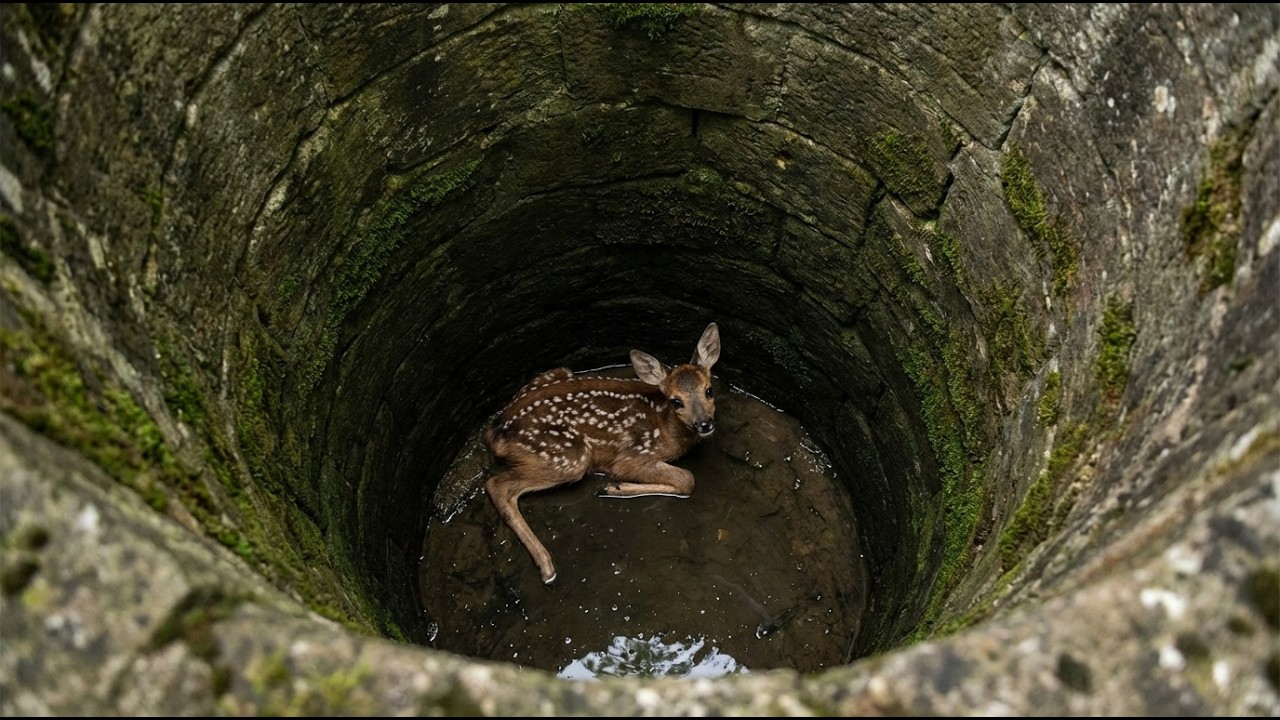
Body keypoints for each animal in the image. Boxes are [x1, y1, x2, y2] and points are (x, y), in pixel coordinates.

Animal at [483, 323, 721, 585]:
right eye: (676, 401)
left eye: (709, 390)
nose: (704, 424)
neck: (666, 425)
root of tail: (496, 432)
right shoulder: (635, 454)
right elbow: (687, 479)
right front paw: (614, 486)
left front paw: (614, 487)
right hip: (568, 456)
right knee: (497, 484)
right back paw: (546, 565)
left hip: (560, 374)